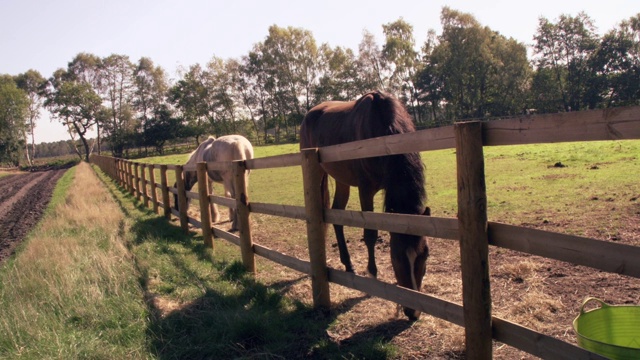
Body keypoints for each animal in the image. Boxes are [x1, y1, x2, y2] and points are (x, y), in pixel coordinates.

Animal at [300, 91, 430, 320]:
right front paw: (373, 275)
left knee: (338, 216)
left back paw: (348, 264)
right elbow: (370, 234)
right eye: (396, 257)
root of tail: (309, 114)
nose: (413, 312)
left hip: (341, 180)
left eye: (425, 255)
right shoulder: (365, 189)